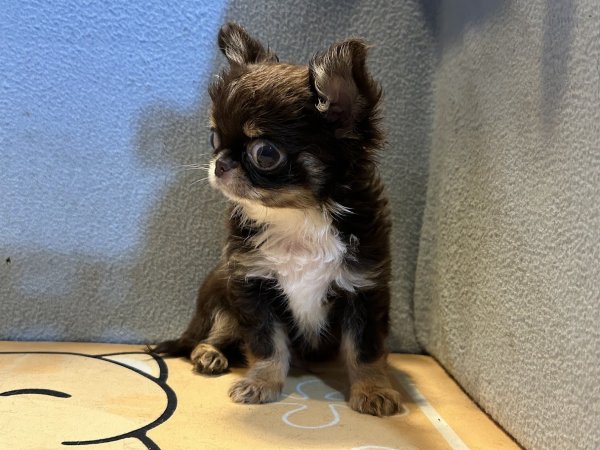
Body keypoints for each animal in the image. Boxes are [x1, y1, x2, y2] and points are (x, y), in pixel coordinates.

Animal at [151, 22, 401, 417]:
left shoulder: (363, 288)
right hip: (221, 293)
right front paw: (261, 383)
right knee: (212, 335)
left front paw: (373, 389)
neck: (297, 216)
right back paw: (209, 355)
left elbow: (364, 350)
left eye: (265, 153)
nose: (220, 163)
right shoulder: (253, 286)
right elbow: (267, 344)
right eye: (213, 137)